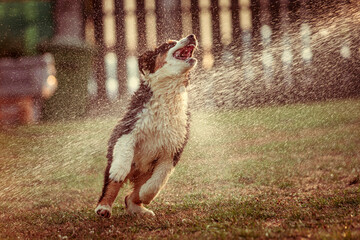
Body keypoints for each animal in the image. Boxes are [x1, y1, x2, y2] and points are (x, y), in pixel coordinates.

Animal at [94, 34, 198, 218]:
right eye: (168, 45)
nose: (191, 36)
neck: (167, 94)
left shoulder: (173, 148)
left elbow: (157, 182)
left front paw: (145, 195)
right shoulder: (128, 127)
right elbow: (125, 150)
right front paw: (119, 170)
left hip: (146, 172)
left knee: (130, 196)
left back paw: (139, 209)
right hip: (118, 164)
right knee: (111, 186)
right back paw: (104, 208)